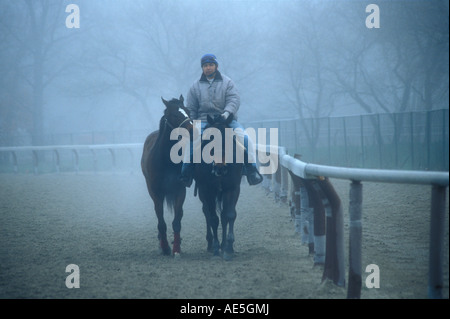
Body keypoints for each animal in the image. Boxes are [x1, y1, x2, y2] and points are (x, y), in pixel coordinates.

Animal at [142, 95, 192, 258]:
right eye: (175, 114)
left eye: (188, 110)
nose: (192, 129)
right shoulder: (156, 192)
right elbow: (161, 221)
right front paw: (164, 247)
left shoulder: (180, 190)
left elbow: (177, 221)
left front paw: (176, 249)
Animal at [193, 114, 243, 262]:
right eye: (210, 139)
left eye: (229, 139)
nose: (220, 168)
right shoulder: (207, 190)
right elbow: (213, 219)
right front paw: (216, 248)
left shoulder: (232, 188)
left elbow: (229, 215)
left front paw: (228, 248)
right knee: (207, 212)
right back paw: (211, 244)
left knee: (223, 215)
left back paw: (223, 244)